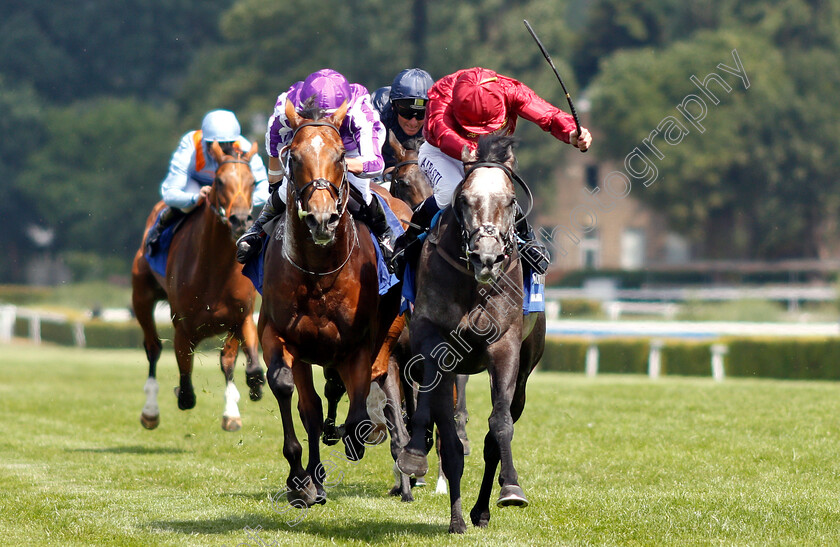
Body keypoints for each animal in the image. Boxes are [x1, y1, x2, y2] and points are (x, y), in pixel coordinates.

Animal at [131, 140, 264, 432]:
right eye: (220, 181)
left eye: (252, 181)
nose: (240, 220)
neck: (216, 271)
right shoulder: (183, 327)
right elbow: (186, 387)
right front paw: (180, 395)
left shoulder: (242, 316)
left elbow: (243, 363)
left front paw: (246, 396)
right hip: (141, 296)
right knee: (153, 348)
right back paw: (150, 411)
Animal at [260, 96, 410, 508]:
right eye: (293, 156)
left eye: (341, 155)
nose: (322, 219)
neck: (320, 270)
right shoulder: (278, 335)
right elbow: (292, 395)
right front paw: (302, 480)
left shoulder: (357, 345)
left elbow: (358, 409)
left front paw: (355, 439)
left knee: (374, 381)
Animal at [398, 135, 548, 532]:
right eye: (464, 199)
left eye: (510, 200)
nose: (487, 257)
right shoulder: (432, 340)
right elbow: (438, 424)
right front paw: (414, 455)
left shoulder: (504, 345)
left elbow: (499, 424)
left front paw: (512, 488)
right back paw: (459, 516)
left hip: (525, 370)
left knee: (495, 433)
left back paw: (481, 509)